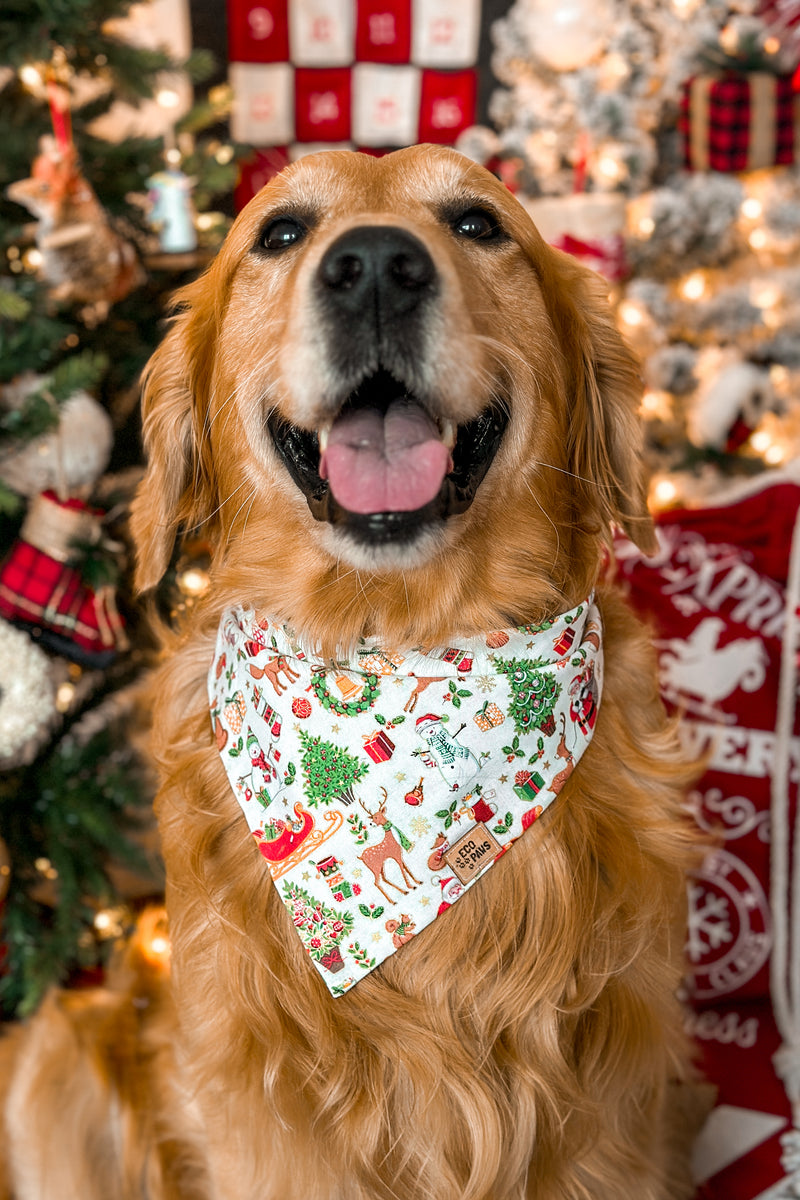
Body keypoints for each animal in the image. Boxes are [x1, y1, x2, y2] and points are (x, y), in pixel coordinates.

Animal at [0, 147, 700, 1200]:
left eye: (478, 223)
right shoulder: (267, 1129)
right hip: (56, 1058)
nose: (374, 267)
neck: (390, 640)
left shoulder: (613, 1117)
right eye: (281, 232)